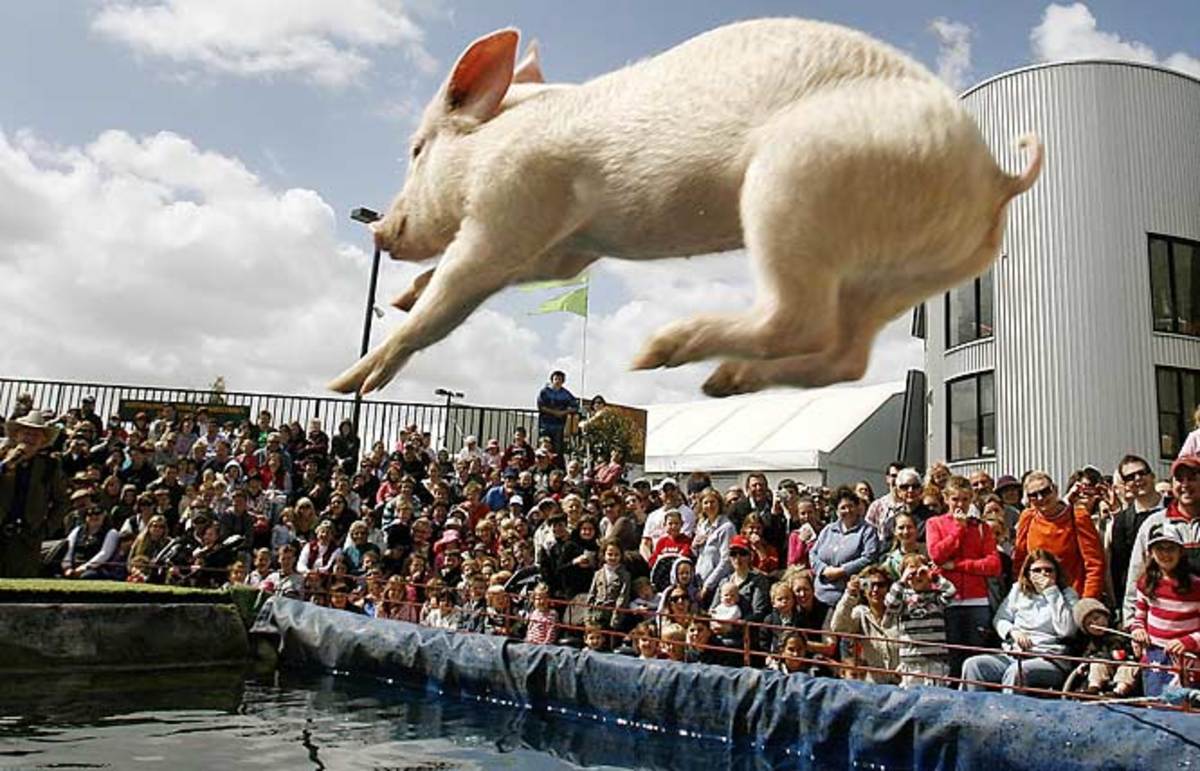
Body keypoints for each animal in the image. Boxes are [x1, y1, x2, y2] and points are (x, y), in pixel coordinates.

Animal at [329, 18, 1042, 397]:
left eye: (416, 148)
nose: (381, 233)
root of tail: (996, 176)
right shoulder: (566, 248)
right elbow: (514, 278)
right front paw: (400, 297)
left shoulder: (514, 202)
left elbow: (449, 298)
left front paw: (350, 384)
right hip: (902, 277)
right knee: (847, 357)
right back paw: (723, 382)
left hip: (792, 187)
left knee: (797, 319)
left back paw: (657, 354)